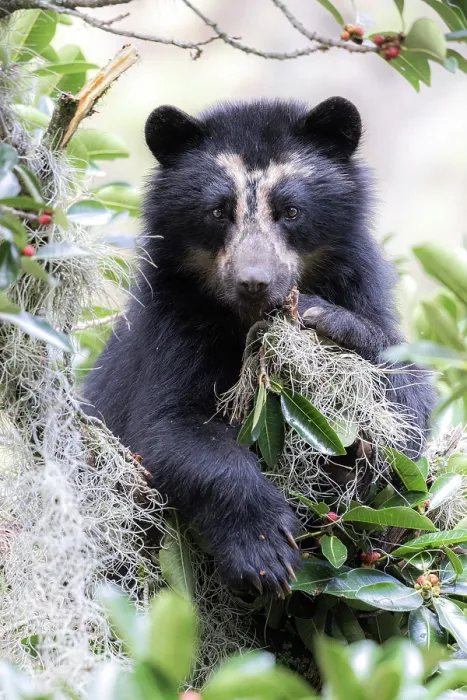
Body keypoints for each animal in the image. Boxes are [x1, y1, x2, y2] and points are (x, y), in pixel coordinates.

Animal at [83, 97, 435, 598]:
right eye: (217, 212)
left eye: (291, 210)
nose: (254, 282)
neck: (244, 320)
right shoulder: (172, 321)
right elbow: (166, 428)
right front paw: (266, 555)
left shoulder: (361, 285)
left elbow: (409, 403)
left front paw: (326, 320)